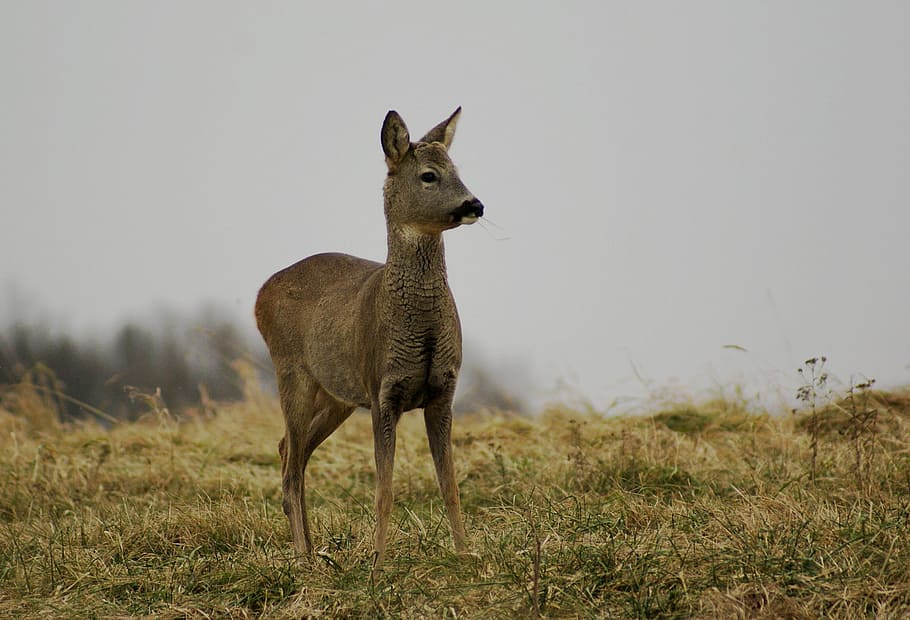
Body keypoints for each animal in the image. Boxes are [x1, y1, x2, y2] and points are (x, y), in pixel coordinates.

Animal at [254, 107, 483, 568]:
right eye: (429, 175)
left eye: (458, 170)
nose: (476, 204)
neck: (420, 328)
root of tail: (260, 295)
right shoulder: (383, 390)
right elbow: (384, 490)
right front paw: (378, 562)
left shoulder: (443, 391)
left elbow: (450, 486)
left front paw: (465, 554)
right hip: (291, 371)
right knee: (291, 464)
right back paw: (304, 559)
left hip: (337, 395)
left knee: (290, 449)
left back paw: (314, 551)